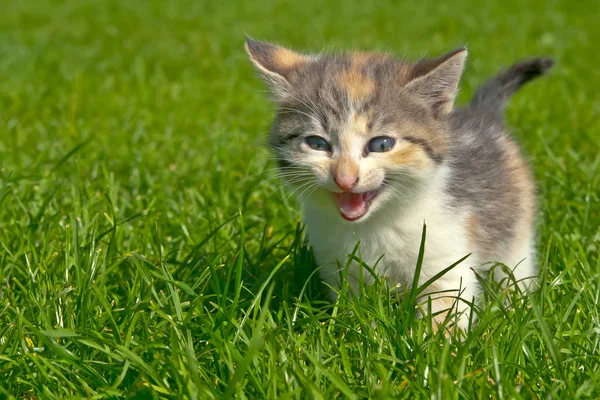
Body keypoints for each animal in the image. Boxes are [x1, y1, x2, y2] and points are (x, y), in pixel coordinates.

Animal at [245, 39, 552, 330]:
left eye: (381, 144)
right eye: (317, 144)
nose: (345, 178)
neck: (377, 224)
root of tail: (482, 114)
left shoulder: (448, 258)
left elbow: (445, 311)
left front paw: (436, 346)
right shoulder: (340, 267)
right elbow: (355, 308)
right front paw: (358, 332)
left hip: (515, 228)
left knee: (514, 269)